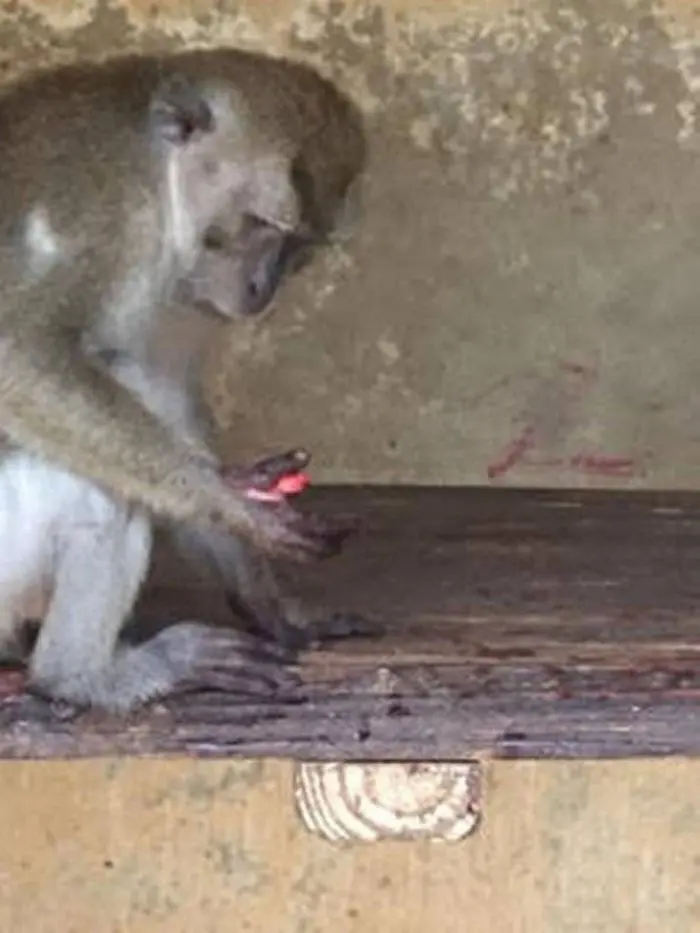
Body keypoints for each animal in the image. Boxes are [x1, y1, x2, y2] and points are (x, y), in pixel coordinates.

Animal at [0, 47, 370, 708]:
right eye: (259, 223)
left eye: (298, 245)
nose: (262, 288)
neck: (157, 179)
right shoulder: (98, 213)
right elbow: (18, 355)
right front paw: (227, 498)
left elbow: (164, 391)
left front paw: (267, 596)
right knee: (101, 486)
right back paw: (80, 676)